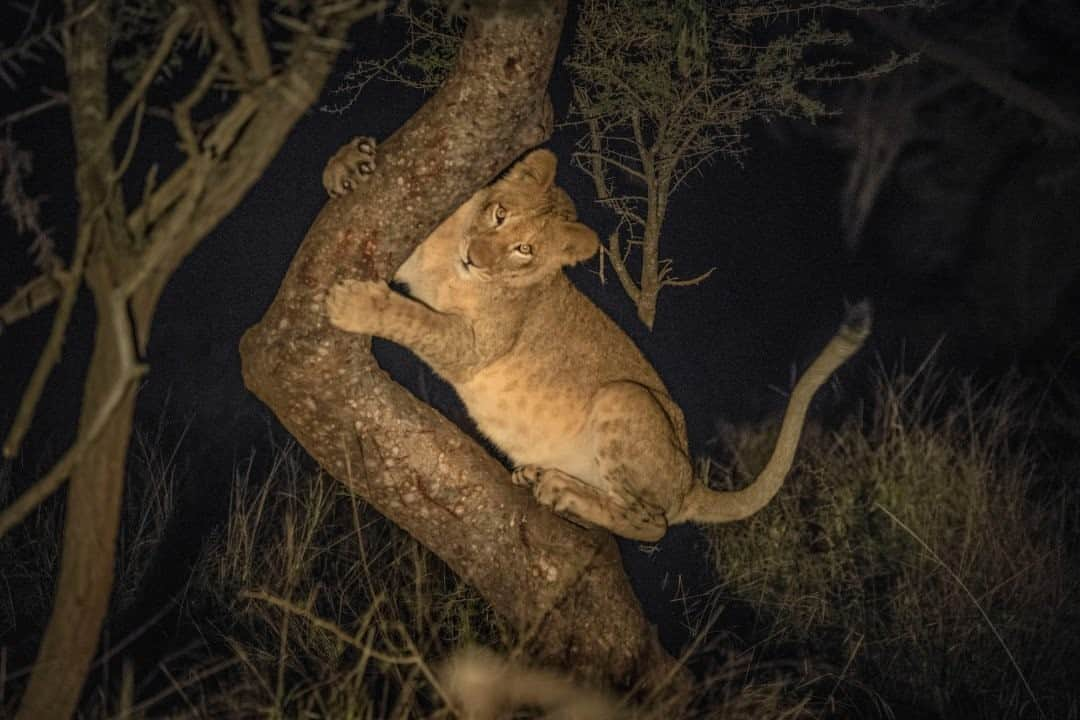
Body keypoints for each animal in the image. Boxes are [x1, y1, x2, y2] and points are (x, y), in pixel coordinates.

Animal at [324, 144, 872, 539]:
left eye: (524, 250)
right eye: (500, 214)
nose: (475, 258)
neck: (455, 267)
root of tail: (690, 482)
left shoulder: (476, 347)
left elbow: (416, 320)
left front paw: (352, 305)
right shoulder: (423, 258)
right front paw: (348, 165)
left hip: (624, 398)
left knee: (652, 526)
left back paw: (566, 495)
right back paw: (546, 479)